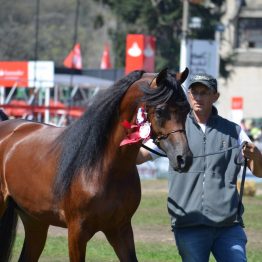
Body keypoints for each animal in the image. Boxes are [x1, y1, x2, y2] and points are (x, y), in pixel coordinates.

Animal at [0, 68, 191, 262]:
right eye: (160, 111)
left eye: (187, 110)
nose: (183, 158)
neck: (104, 167)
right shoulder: (77, 233)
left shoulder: (120, 229)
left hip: (35, 221)